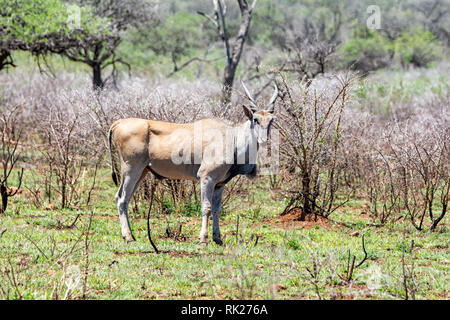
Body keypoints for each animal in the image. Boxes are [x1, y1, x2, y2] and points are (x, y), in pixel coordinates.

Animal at [109, 82, 278, 245]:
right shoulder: (206, 178)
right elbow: (206, 207)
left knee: (122, 197)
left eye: (271, 120)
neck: (233, 138)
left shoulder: (219, 184)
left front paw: (217, 238)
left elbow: (216, 209)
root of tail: (117, 124)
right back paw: (128, 236)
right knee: (122, 199)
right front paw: (203, 238)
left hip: (142, 172)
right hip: (131, 169)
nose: (264, 140)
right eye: (255, 120)